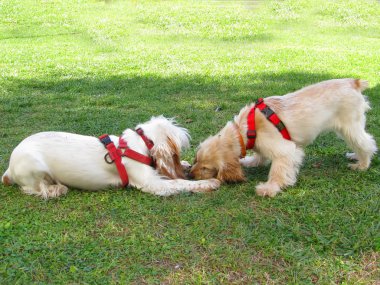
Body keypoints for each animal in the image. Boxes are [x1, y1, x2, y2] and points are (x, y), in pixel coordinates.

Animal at [2, 115, 220, 197]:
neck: (138, 143)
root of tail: (8, 169)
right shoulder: (153, 184)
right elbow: (180, 183)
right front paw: (209, 183)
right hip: (35, 167)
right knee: (34, 188)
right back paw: (56, 189)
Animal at [190, 79, 378, 196]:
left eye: (206, 168)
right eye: (195, 159)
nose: (190, 175)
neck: (245, 129)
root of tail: (353, 82)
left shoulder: (286, 151)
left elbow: (277, 171)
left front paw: (269, 188)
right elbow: (259, 156)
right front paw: (251, 161)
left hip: (350, 126)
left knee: (367, 144)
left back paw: (362, 164)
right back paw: (355, 156)